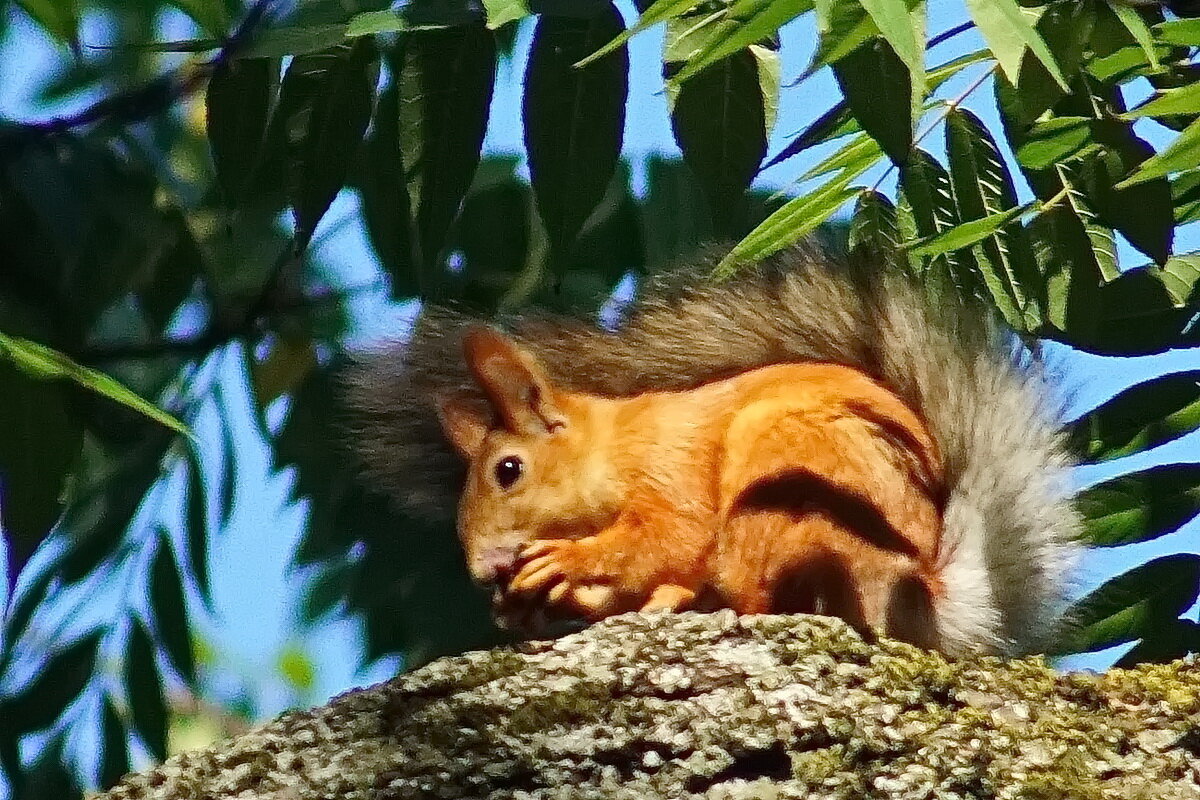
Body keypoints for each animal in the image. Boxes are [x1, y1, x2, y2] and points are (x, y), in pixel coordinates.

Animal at [343, 242, 1084, 657]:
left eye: (508, 470)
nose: (480, 571)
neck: (612, 449)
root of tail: (928, 592)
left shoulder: (669, 473)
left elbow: (666, 537)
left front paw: (569, 561)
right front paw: (522, 605)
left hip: (784, 492)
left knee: (755, 597)